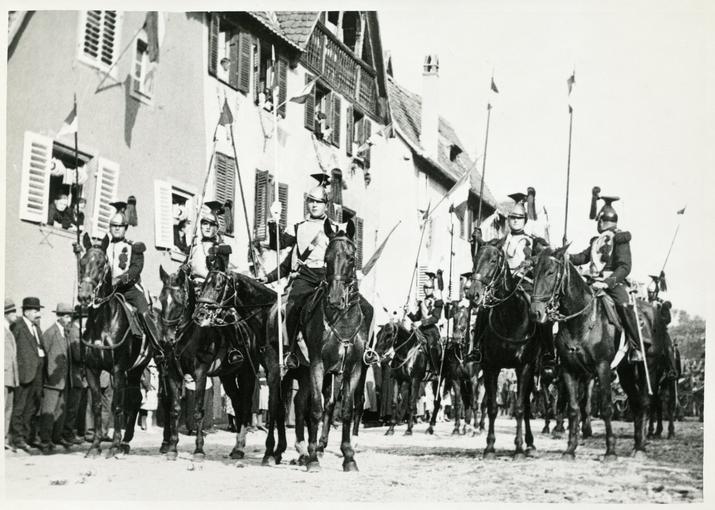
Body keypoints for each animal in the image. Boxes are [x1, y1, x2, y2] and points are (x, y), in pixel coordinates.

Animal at [76, 233, 154, 456]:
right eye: (82, 262)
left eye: (102, 263)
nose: (84, 296)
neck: (103, 323)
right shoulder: (92, 370)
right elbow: (96, 406)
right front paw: (95, 445)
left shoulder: (118, 370)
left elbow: (116, 406)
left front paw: (113, 445)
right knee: (135, 398)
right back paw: (125, 441)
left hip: (137, 369)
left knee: (134, 399)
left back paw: (124, 442)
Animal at [298, 217, 374, 472]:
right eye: (327, 257)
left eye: (351, 257)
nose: (334, 299)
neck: (342, 320)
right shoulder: (317, 365)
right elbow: (315, 408)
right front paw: (312, 458)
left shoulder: (354, 368)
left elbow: (347, 409)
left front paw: (349, 456)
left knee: (334, 404)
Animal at [464, 239, 544, 458]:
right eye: (475, 259)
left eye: (493, 260)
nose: (473, 293)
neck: (510, 317)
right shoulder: (490, 367)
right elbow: (491, 407)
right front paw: (490, 446)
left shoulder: (524, 367)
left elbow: (519, 408)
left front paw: (518, 448)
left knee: (526, 406)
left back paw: (530, 444)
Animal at [528, 245, 656, 460]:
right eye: (534, 272)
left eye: (550, 272)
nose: (535, 312)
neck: (581, 320)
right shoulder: (568, 370)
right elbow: (573, 409)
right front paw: (570, 449)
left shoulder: (602, 368)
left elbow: (605, 407)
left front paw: (610, 451)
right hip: (626, 373)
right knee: (636, 403)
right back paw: (638, 444)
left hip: (644, 371)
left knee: (645, 403)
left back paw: (641, 447)